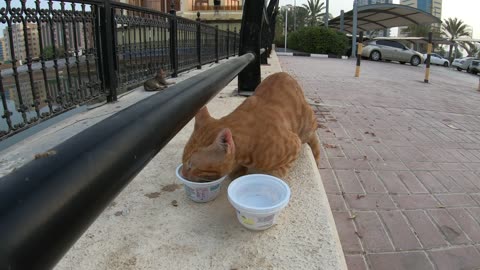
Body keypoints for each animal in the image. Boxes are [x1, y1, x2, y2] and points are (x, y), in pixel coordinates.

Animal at [182, 71, 320, 182]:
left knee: (313, 137)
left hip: (305, 129)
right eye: (183, 160)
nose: (183, 174)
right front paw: (238, 172)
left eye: (190, 165)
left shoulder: (294, 144)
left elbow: (277, 174)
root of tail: (285, 74)